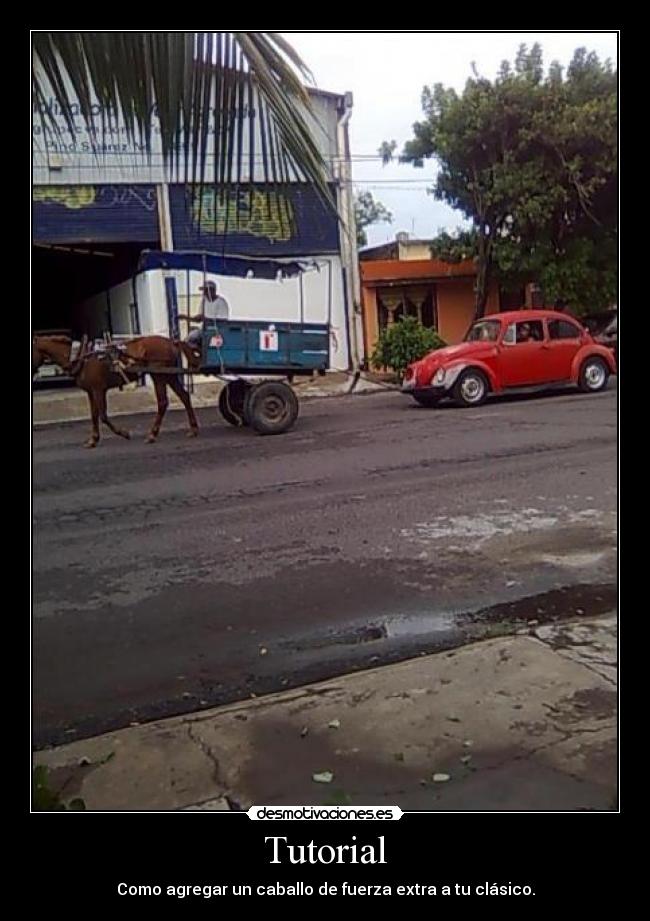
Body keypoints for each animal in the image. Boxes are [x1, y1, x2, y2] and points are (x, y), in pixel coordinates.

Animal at [33, 334, 199, 450]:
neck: (81, 357)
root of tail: (171, 342)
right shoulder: (91, 391)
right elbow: (94, 415)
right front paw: (93, 439)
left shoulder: (99, 390)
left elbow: (103, 416)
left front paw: (124, 433)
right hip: (169, 375)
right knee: (184, 396)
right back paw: (193, 429)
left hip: (158, 375)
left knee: (163, 402)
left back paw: (152, 434)